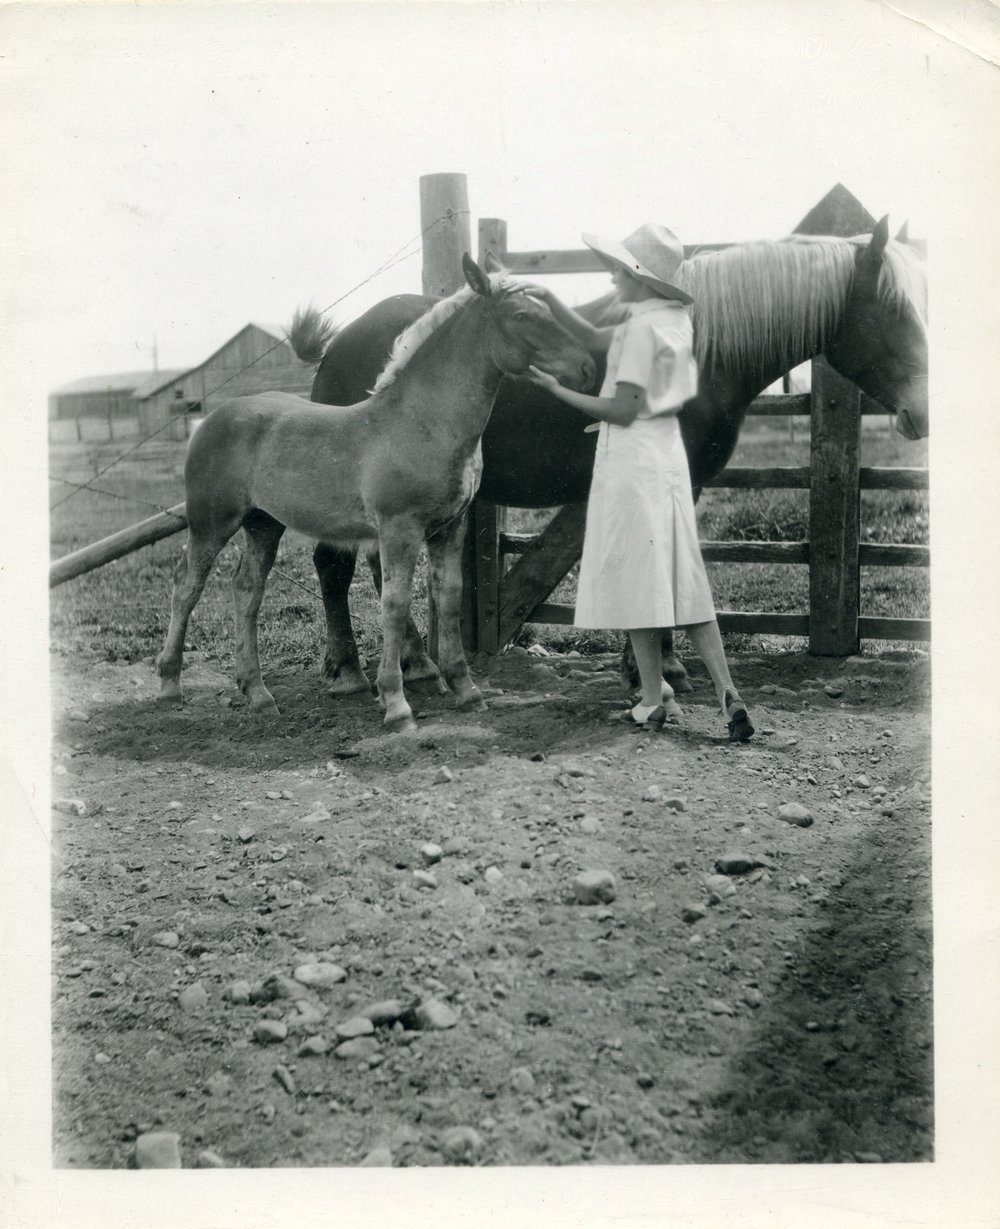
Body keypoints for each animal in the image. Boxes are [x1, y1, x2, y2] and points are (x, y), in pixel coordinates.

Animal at [155, 255, 594, 732]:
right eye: (521, 316)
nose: (588, 369)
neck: (423, 420)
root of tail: (211, 418)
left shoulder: (449, 526)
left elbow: (449, 597)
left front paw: (466, 690)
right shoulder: (399, 527)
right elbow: (396, 603)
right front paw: (397, 703)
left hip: (264, 525)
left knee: (247, 590)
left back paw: (258, 694)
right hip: (211, 522)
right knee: (186, 586)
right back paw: (170, 685)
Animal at [303, 217, 928, 694]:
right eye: (894, 311)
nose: (920, 413)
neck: (693, 350)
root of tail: (340, 342)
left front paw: (654, 664)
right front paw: (660, 667)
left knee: (378, 570)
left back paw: (415, 664)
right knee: (334, 567)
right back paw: (349, 671)